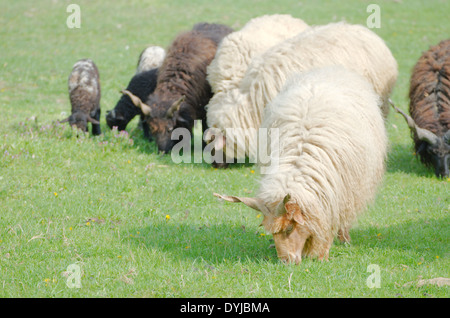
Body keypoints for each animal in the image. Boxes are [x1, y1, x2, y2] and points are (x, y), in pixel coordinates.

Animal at [214, 66, 386, 264]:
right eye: (270, 232)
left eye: (289, 228)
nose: (285, 262)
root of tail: (327, 70)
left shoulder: (334, 196)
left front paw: (321, 255)